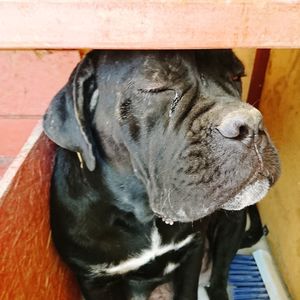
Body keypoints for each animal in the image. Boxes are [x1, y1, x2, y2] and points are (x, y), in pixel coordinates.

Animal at [43, 50, 280, 298]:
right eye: (155, 87)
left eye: (237, 76)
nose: (252, 125)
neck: (144, 215)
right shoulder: (94, 281)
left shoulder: (192, 251)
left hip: (231, 226)